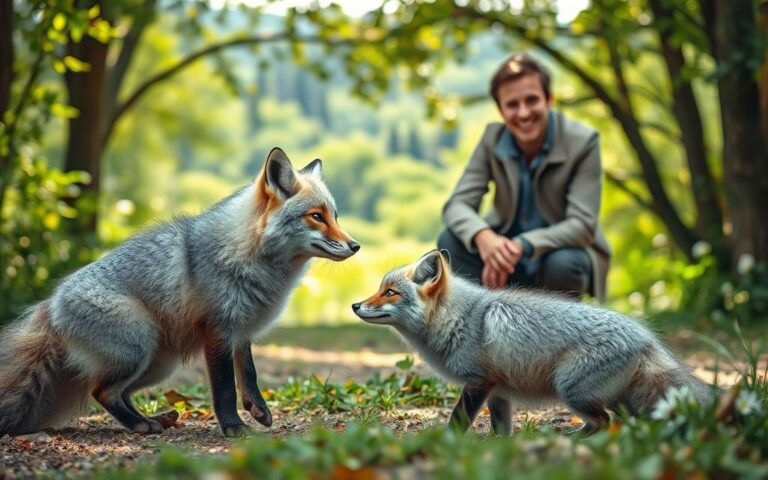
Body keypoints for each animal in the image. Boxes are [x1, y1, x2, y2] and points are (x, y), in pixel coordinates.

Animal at [0, 148, 359, 437]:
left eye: (335, 216)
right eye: (316, 216)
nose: (356, 246)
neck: (249, 254)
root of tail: (50, 305)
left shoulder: (241, 330)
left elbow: (250, 374)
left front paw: (257, 409)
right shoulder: (217, 331)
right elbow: (225, 388)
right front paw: (233, 427)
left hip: (158, 365)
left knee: (119, 393)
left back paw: (155, 419)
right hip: (138, 348)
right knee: (101, 391)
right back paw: (141, 425)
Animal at [352, 249, 716, 435]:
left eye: (390, 292)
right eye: (380, 288)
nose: (355, 305)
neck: (460, 320)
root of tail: (645, 337)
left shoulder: (478, 382)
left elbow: (457, 420)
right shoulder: (497, 390)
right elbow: (501, 431)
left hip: (572, 390)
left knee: (604, 422)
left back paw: (566, 441)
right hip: (616, 399)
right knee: (622, 424)